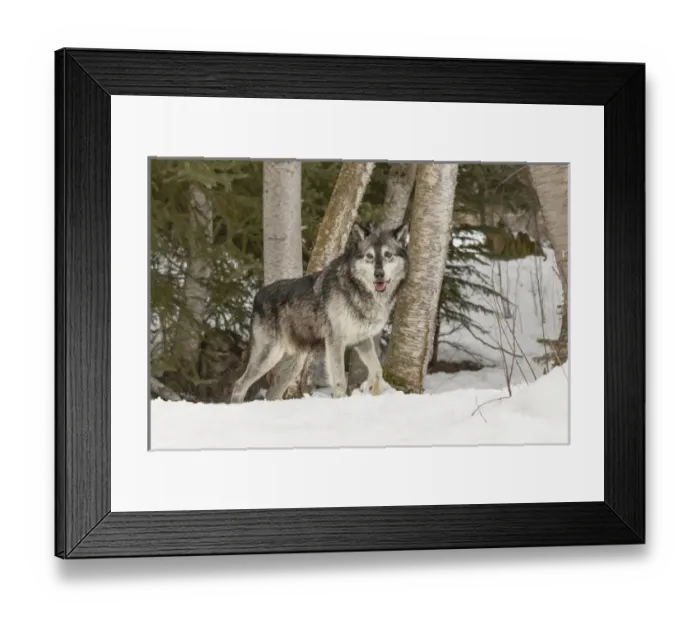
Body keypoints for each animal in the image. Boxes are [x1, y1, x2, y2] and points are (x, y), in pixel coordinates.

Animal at [230, 221, 410, 403]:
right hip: (268, 357)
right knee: (239, 385)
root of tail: (257, 295)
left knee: (272, 394)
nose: (379, 274)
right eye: (370, 256)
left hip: (294, 364)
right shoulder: (335, 341)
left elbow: (378, 371)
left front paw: (375, 393)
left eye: (388, 255)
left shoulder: (362, 340)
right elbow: (340, 382)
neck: (358, 290)